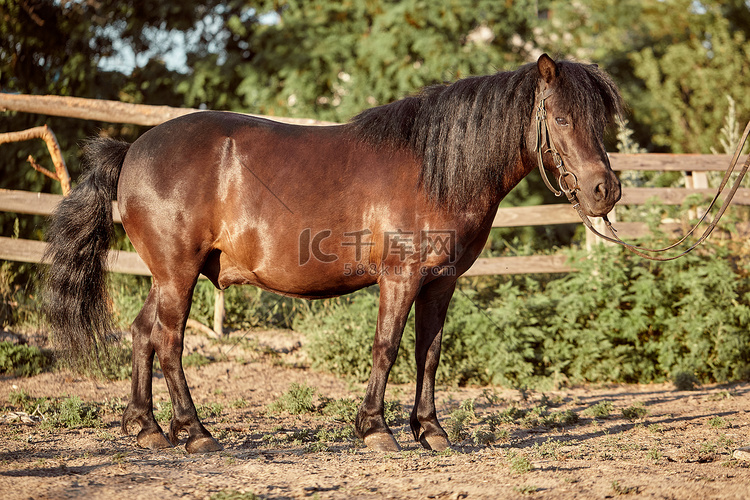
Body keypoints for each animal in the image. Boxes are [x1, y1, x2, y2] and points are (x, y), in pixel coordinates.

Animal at [44, 54, 624, 454]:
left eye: (600, 121)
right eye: (561, 119)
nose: (605, 190)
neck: (436, 168)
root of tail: (131, 150)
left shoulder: (441, 281)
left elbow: (429, 353)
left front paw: (430, 430)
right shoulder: (400, 278)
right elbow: (386, 348)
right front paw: (376, 430)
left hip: (167, 277)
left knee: (143, 332)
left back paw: (147, 428)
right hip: (178, 273)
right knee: (168, 341)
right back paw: (196, 432)